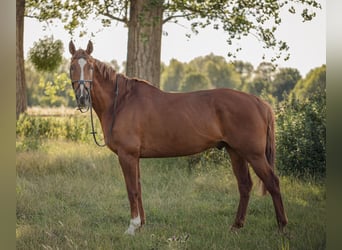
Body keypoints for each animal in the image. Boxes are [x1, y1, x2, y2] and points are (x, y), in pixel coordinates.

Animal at [68, 40, 288, 234]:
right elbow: (138, 188)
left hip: (254, 154)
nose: (82, 97)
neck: (121, 101)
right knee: (245, 185)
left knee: (273, 182)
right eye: (71, 67)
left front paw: (132, 227)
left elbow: (132, 190)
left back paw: (282, 227)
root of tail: (259, 102)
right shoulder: (135, 157)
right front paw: (142, 225)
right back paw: (236, 226)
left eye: (90, 67)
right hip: (236, 152)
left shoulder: (127, 155)